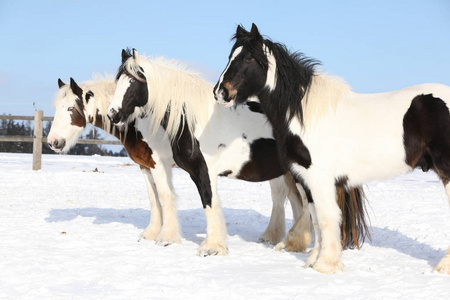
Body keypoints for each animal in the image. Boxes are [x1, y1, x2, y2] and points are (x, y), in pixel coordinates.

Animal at [46, 75, 306, 251]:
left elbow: (165, 197)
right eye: (56, 108)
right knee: (291, 199)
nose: (53, 142)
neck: (144, 119)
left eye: (71, 108)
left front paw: (167, 237)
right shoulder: (145, 166)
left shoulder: (160, 165)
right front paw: (151, 233)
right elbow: (154, 200)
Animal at [108, 48, 370, 255]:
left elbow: (208, 202)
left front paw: (211, 248)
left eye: (132, 82)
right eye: (117, 81)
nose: (112, 114)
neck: (194, 120)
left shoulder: (203, 171)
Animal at [214, 22, 450, 274]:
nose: (220, 92)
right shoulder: (307, 180)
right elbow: (317, 220)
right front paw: (313, 260)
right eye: (230, 57)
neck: (305, 114)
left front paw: (326, 266)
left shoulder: (320, 179)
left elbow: (327, 218)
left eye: (248, 58)